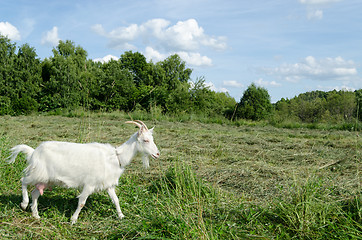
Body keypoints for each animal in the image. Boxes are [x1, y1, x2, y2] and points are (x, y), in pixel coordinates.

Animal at [6, 121, 160, 224]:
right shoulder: (89, 184)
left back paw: (36, 215)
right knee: (23, 181)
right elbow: (81, 202)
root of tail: (33, 152)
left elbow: (116, 200)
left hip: (45, 180)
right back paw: (24, 204)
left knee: (35, 193)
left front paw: (121, 216)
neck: (116, 157)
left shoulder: (108, 184)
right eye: (145, 140)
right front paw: (73, 220)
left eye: (152, 139)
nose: (157, 154)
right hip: (38, 173)